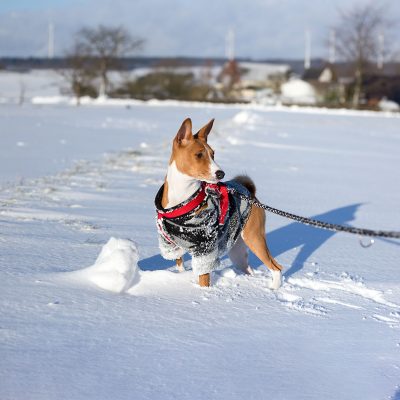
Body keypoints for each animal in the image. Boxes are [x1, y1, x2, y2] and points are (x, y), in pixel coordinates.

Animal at [155, 117, 282, 290]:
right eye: (199, 154)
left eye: (213, 154)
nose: (221, 173)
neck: (182, 200)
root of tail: (250, 192)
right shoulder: (171, 245)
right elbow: (180, 265)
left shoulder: (205, 249)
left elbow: (203, 280)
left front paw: (204, 294)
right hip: (237, 249)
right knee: (249, 269)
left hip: (255, 238)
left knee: (276, 267)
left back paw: (273, 289)